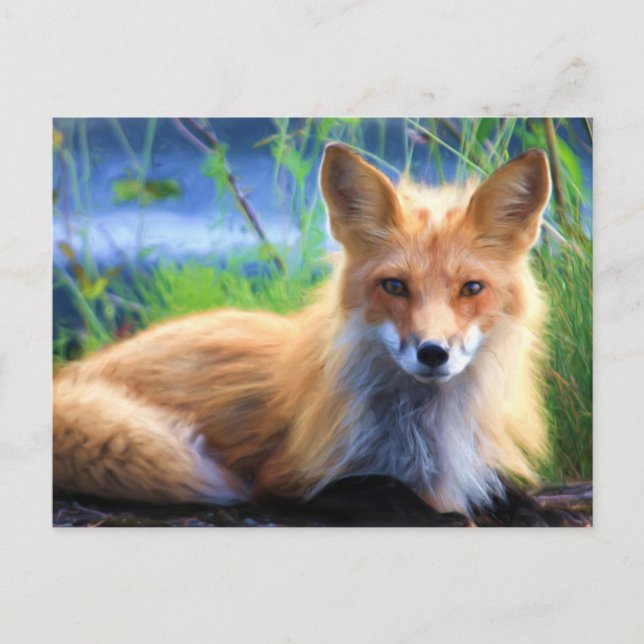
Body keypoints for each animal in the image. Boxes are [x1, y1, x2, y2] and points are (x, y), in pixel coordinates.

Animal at [53, 143, 552, 517]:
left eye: (472, 288)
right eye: (394, 286)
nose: (432, 353)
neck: (424, 433)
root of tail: (74, 373)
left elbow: (508, 494)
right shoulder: (286, 479)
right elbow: (390, 492)